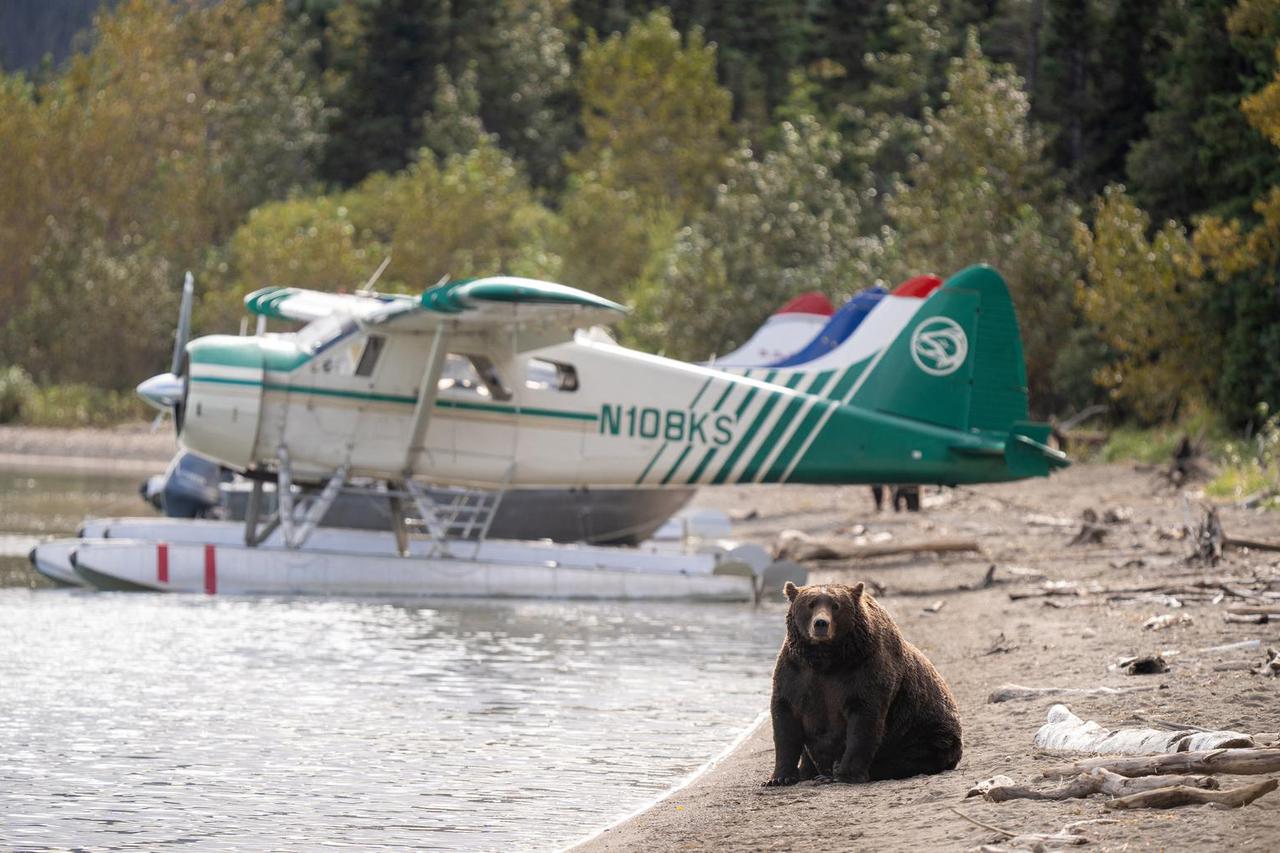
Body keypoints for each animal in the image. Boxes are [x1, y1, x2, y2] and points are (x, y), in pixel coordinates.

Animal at [764, 581, 962, 786]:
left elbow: (864, 721)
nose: (821, 623)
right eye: (810, 604)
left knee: (912, 754)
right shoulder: (796, 673)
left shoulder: (864, 670)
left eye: (835, 605)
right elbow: (785, 721)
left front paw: (846, 774)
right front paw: (779, 777)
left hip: (926, 731)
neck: (826, 659)